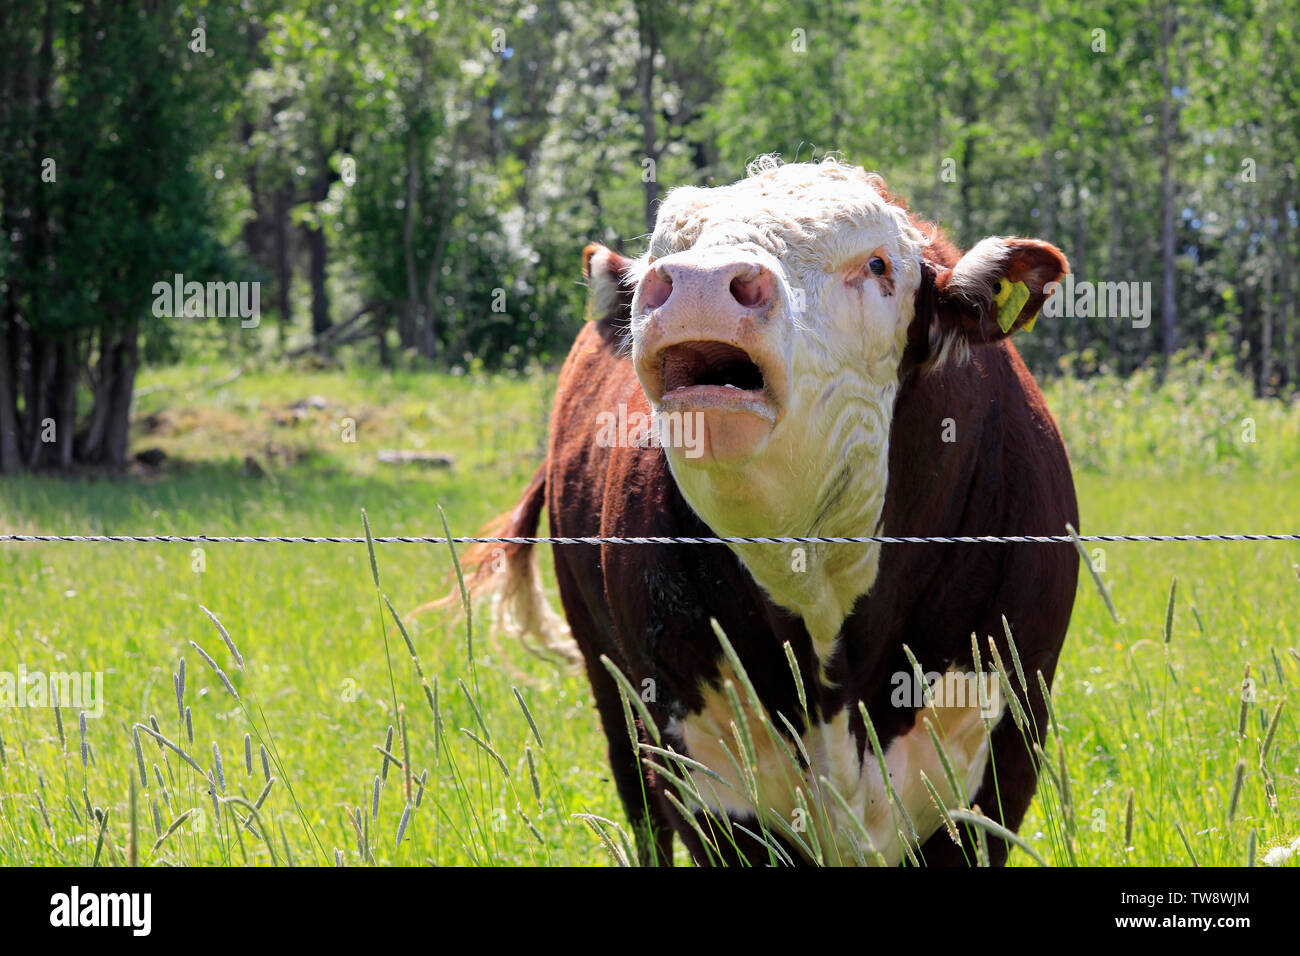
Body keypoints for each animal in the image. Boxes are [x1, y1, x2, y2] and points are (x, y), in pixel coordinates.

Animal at [462, 158, 1081, 868]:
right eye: (665, 251)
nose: (700, 283)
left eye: (876, 264)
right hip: (606, 679)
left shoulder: (996, 761)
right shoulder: (704, 774)